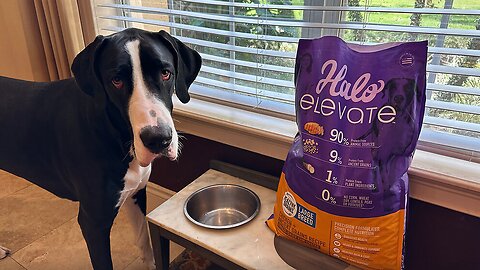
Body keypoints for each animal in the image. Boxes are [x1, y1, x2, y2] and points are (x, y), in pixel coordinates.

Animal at [0, 28, 202, 268]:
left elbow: (143, 239)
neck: (115, 134)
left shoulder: (136, 193)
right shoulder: (94, 223)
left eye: (165, 73)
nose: (158, 139)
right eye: (116, 80)